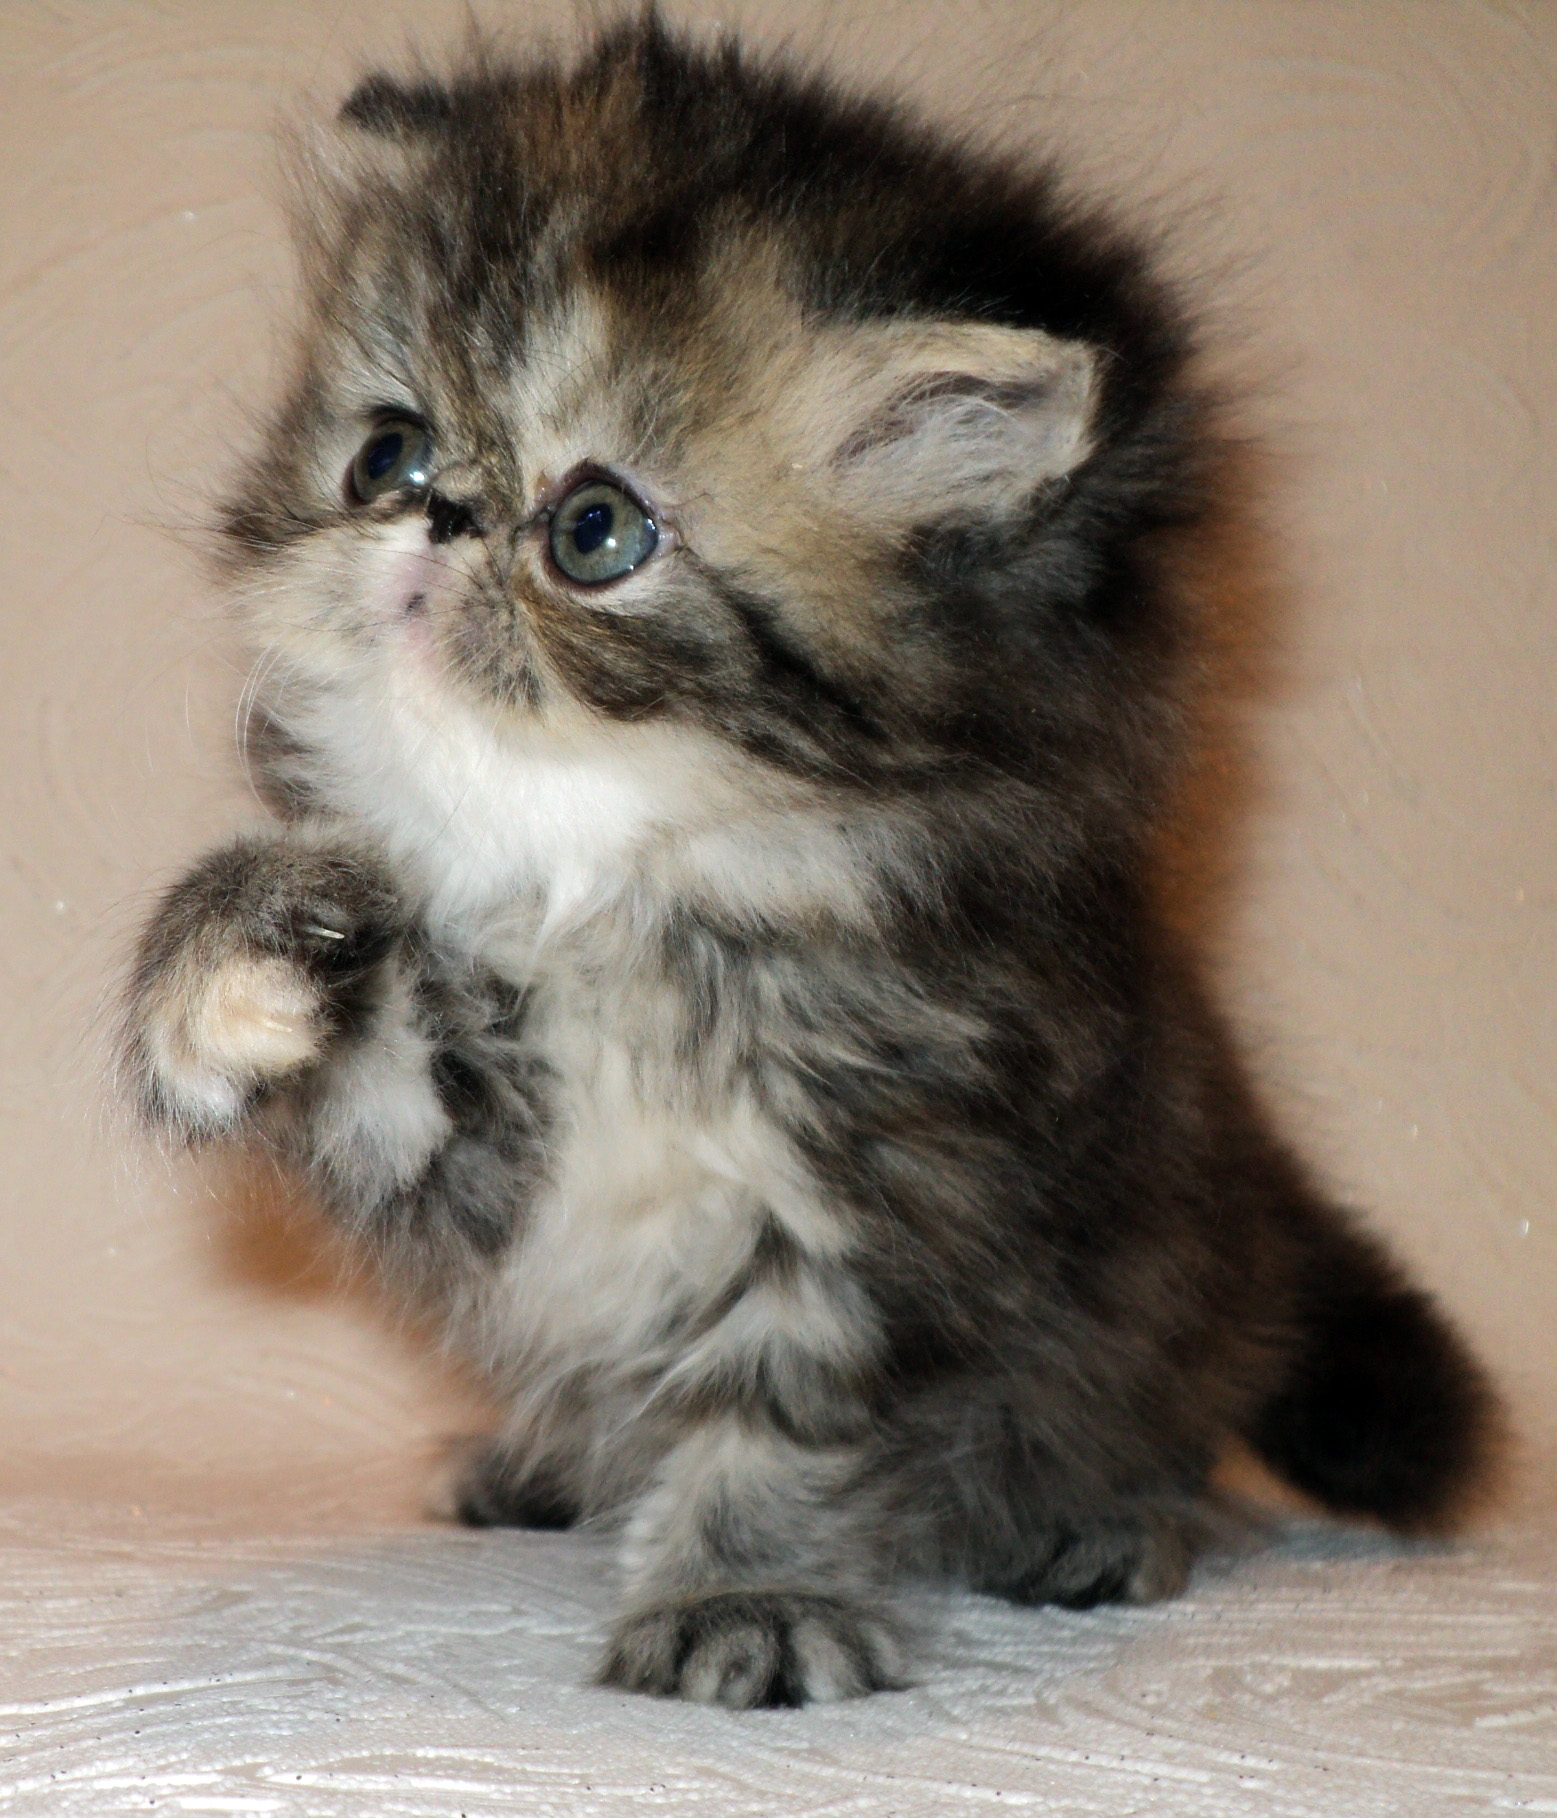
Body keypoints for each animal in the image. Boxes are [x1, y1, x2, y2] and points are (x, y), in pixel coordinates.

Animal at [120, 16, 1500, 1708]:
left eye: (594, 529)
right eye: (386, 452)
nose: (433, 515)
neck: (616, 887)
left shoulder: (890, 1192)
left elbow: (789, 1422)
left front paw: (746, 1599)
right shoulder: (487, 1165)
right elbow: (370, 1056)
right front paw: (232, 972)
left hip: (1165, 1291)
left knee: (1162, 1420)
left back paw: (1104, 1520)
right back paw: (543, 1463)